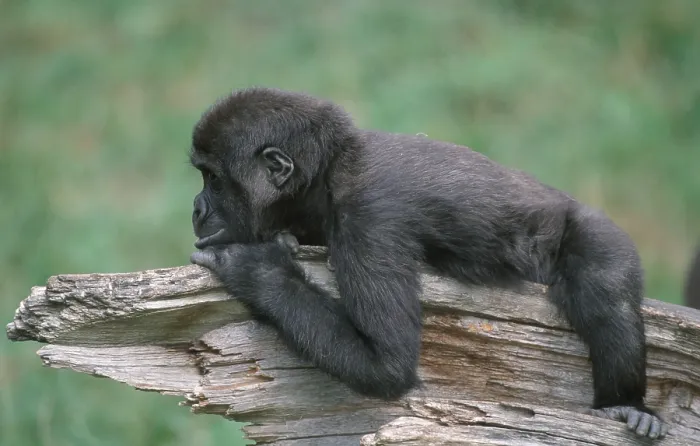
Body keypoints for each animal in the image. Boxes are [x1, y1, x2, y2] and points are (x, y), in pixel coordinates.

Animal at [188, 87, 667, 439]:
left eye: (214, 179)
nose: (196, 209)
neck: (329, 169)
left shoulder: (370, 220)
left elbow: (386, 364)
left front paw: (256, 271)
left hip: (597, 231)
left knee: (606, 297)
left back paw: (627, 406)